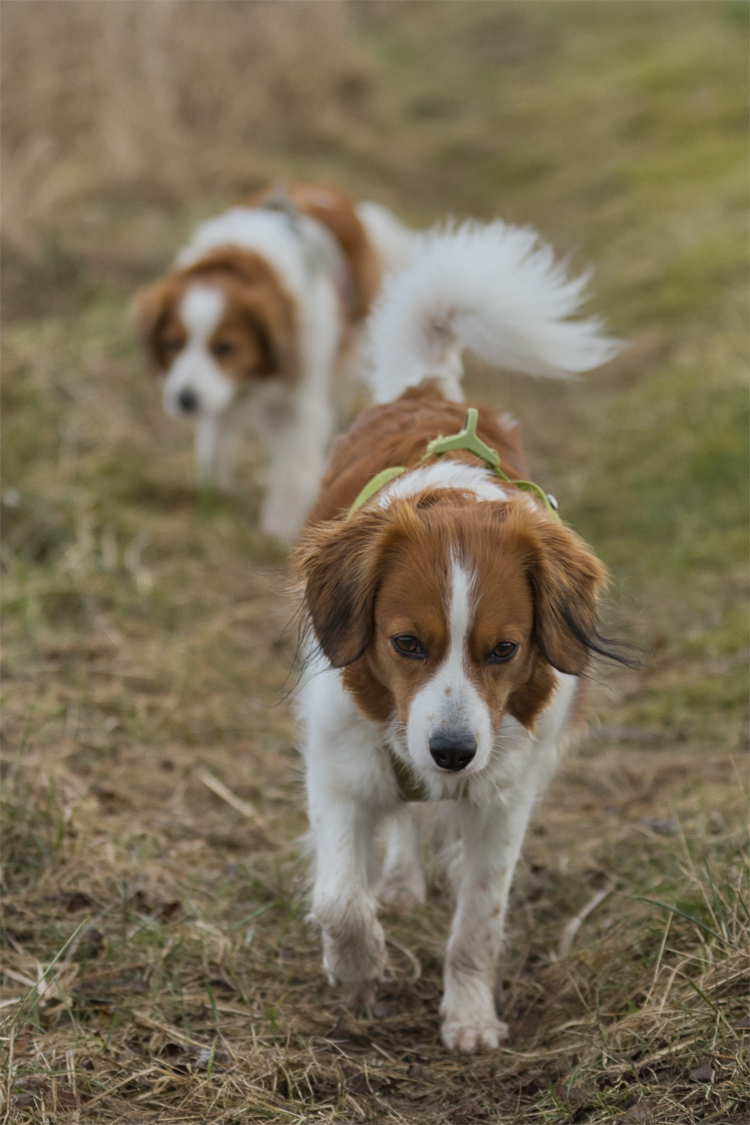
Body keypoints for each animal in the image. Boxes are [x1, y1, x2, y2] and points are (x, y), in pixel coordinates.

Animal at [132, 182, 420, 542]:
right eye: (173, 343)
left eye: (225, 347)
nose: (185, 400)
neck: (241, 265)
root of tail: (333, 194)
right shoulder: (222, 398)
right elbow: (216, 439)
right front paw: (213, 491)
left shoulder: (301, 402)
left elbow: (293, 467)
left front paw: (278, 529)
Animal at [296, 221, 625, 1053]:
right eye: (406, 643)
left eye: (504, 650)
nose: (451, 752)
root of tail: (430, 393)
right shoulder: (338, 765)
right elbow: (338, 897)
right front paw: (357, 969)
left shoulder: (503, 797)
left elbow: (479, 923)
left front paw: (470, 1014)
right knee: (399, 823)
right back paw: (399, 879)